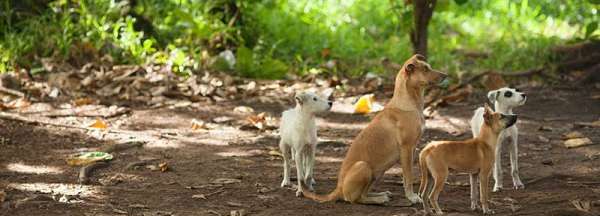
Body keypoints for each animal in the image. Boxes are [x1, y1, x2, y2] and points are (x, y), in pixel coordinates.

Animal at [302, 54, 448, 204]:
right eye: (425, 69)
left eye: (428, 67)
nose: (446, 75)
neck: (409, 103)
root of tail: (339, 188)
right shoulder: (406, 148)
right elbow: (408, 176)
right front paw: (412, 197)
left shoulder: (412, 148)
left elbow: (406, 176)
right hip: (363, 167)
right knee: (356, 199)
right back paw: (379, 199)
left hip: (377, 173)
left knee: (364, 194)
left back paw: (381, 195)